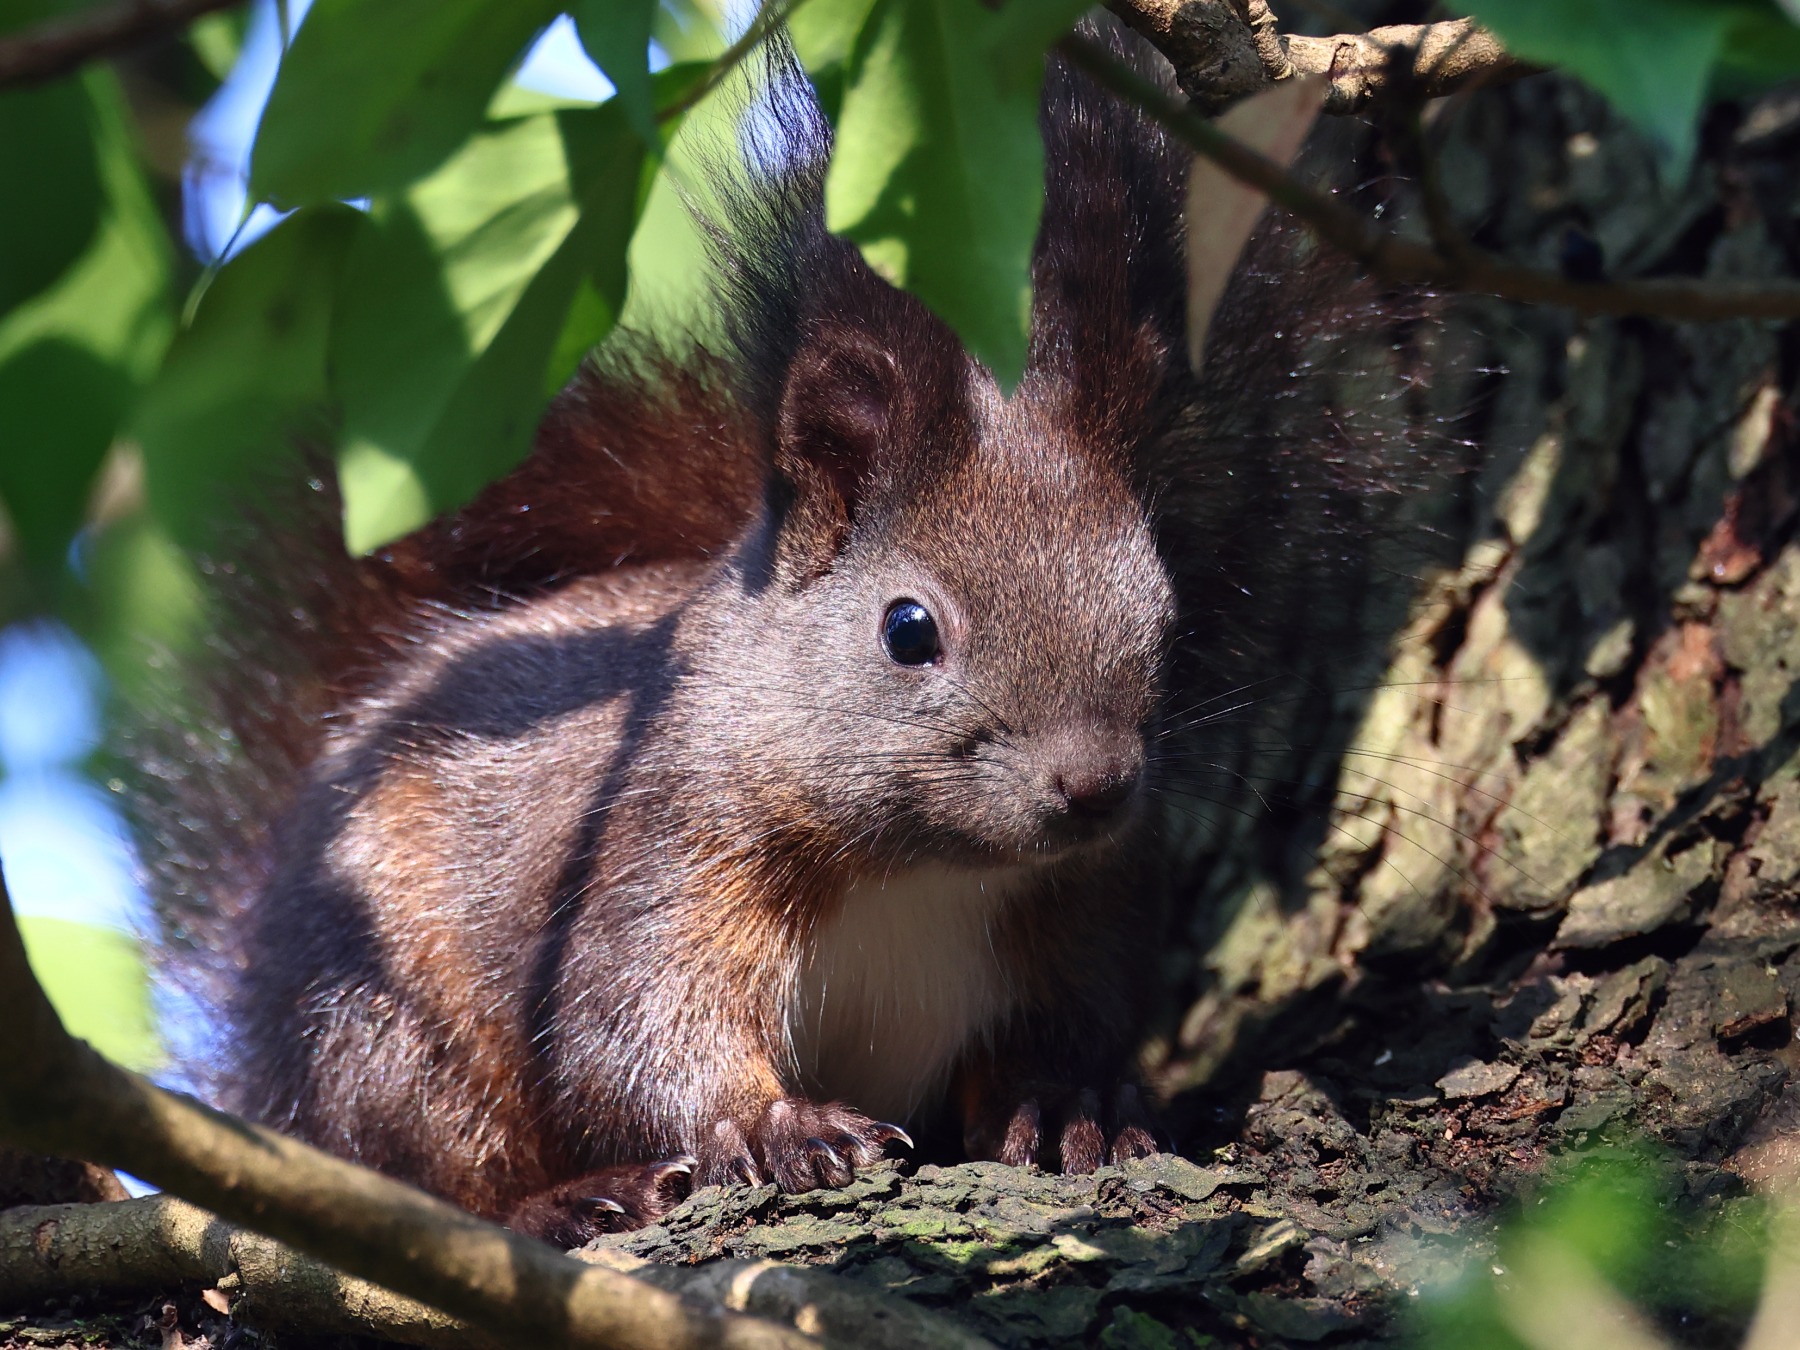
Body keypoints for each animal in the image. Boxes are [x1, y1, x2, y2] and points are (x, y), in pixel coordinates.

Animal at [136, 29, 1415, 1248]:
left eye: (1161, 609)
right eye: (909, 630)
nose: (1094, 787)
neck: (925, 866)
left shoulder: (1088, 906)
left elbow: (1074, 1019)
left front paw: (1067, 1105)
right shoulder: (660, 847)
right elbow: (631, 1026)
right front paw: (774, 1126)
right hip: (377, 1016)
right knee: (409, 1168)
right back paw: (564, 1203)